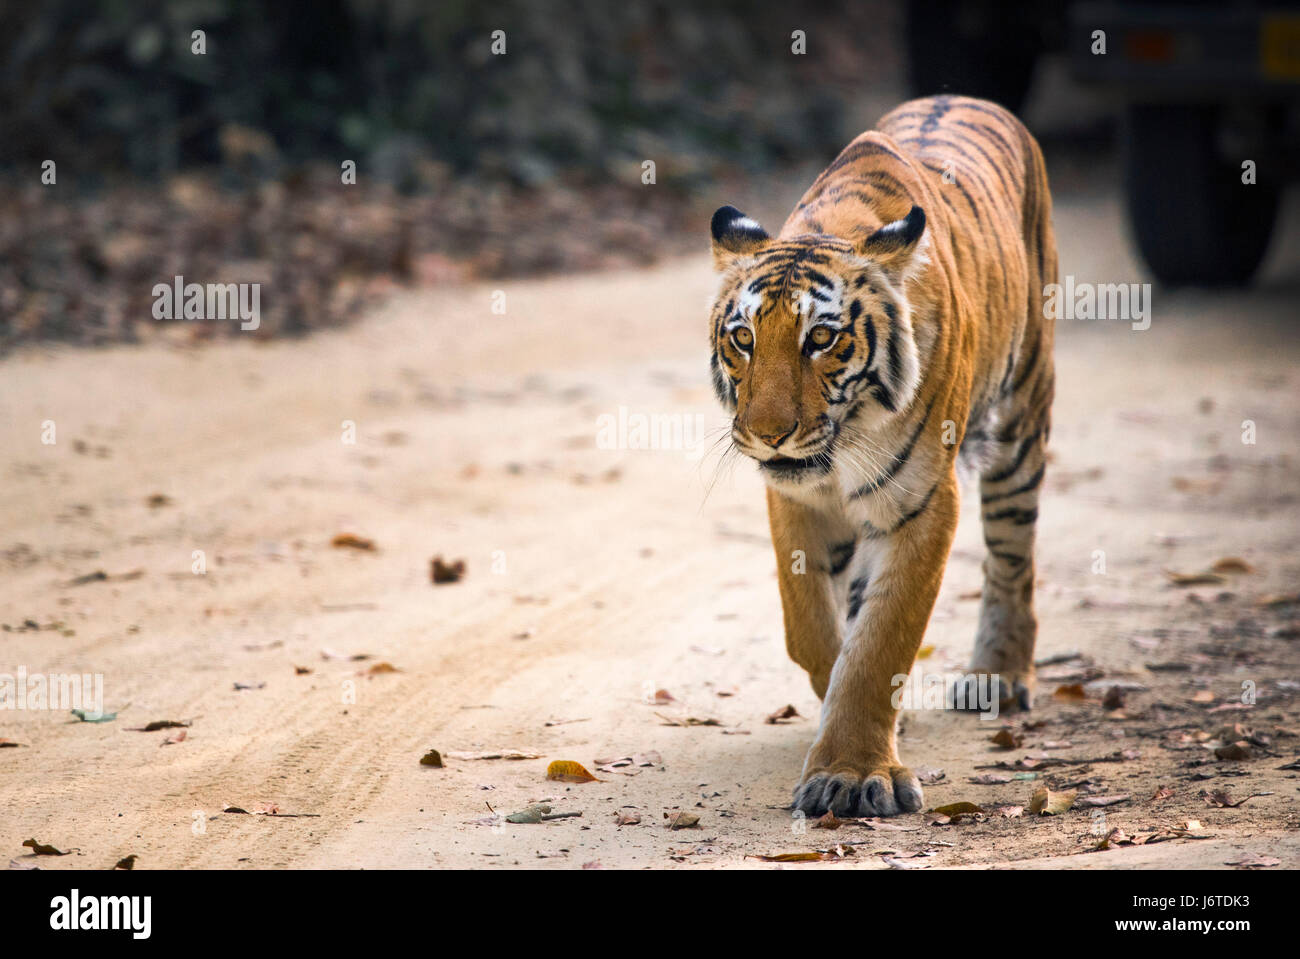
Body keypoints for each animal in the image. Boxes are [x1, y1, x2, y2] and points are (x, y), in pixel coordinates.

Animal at [707, 95, 1050, 816]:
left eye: (821, 339)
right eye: (744, 339)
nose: (769, 432)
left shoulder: (922, 502)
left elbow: (880, 642)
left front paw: (852, 774)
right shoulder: (797, 500)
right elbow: (812, 627)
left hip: (1020, 423)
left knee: (1012, 557)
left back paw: (999, 675)